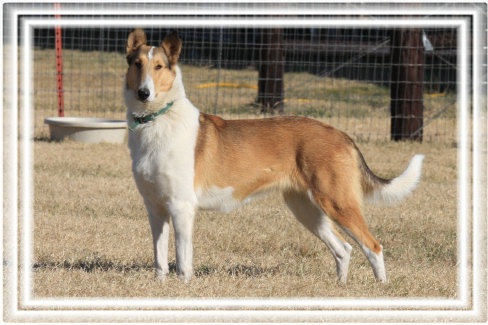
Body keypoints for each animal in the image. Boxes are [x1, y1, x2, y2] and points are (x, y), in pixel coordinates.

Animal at [123, 29, 424, 284]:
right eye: (137, 64)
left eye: (159, 67)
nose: (144, 93)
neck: (157, 120)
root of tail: (341, 134)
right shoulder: (155, 208)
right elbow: (160, 257)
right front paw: (160, 285)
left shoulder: (182, 207)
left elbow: (183, 258)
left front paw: (184, 287)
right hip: (307, 209)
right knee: (344, 248)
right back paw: (341, 287)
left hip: (337, 203)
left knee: (373, 246)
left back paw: (381, 287)